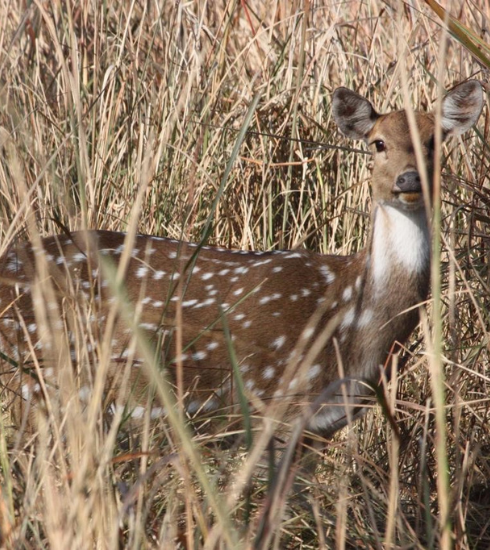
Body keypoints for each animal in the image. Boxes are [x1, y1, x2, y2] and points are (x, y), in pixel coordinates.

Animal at [0, 81, 482, 452]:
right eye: (378, 143)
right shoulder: (272, 407)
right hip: (36, 380)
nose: (408, 179)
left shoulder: (315, 429)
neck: (352, 325)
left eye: (435, 142)